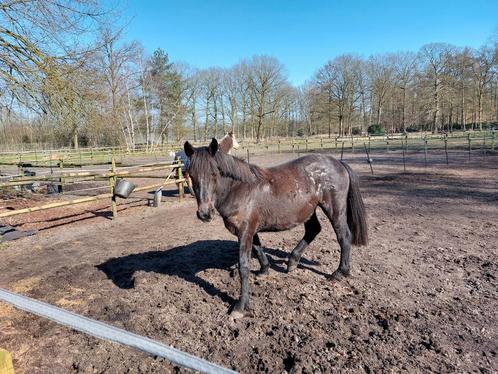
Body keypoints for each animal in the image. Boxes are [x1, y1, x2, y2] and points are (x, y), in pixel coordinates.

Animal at [183, 138, 366, 318]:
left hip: (335, 210)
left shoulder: (245, 231)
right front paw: (264, 270)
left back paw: (340, 272)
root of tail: (338, 163)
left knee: (344, 236)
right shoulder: (250, 231)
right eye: (191, 175)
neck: (240, 189)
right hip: (308, 210)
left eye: (214, 174)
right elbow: (258, 250)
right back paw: (292, 261)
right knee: (313, 230)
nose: (204, 213)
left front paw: (241, 306)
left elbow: (243, 266)